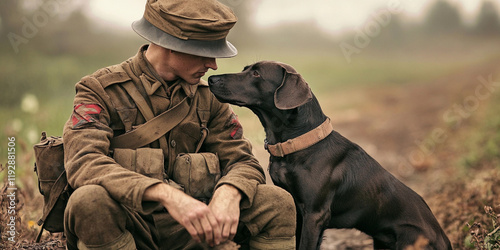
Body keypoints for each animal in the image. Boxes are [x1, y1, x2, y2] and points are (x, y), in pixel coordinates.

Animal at [208, 61, 454, 250]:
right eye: (246, 69)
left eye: (256, 74)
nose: (211, 79)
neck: (298, 143)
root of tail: (446, 241)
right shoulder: (297, 209)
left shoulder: (315, 214)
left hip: (410, 240)